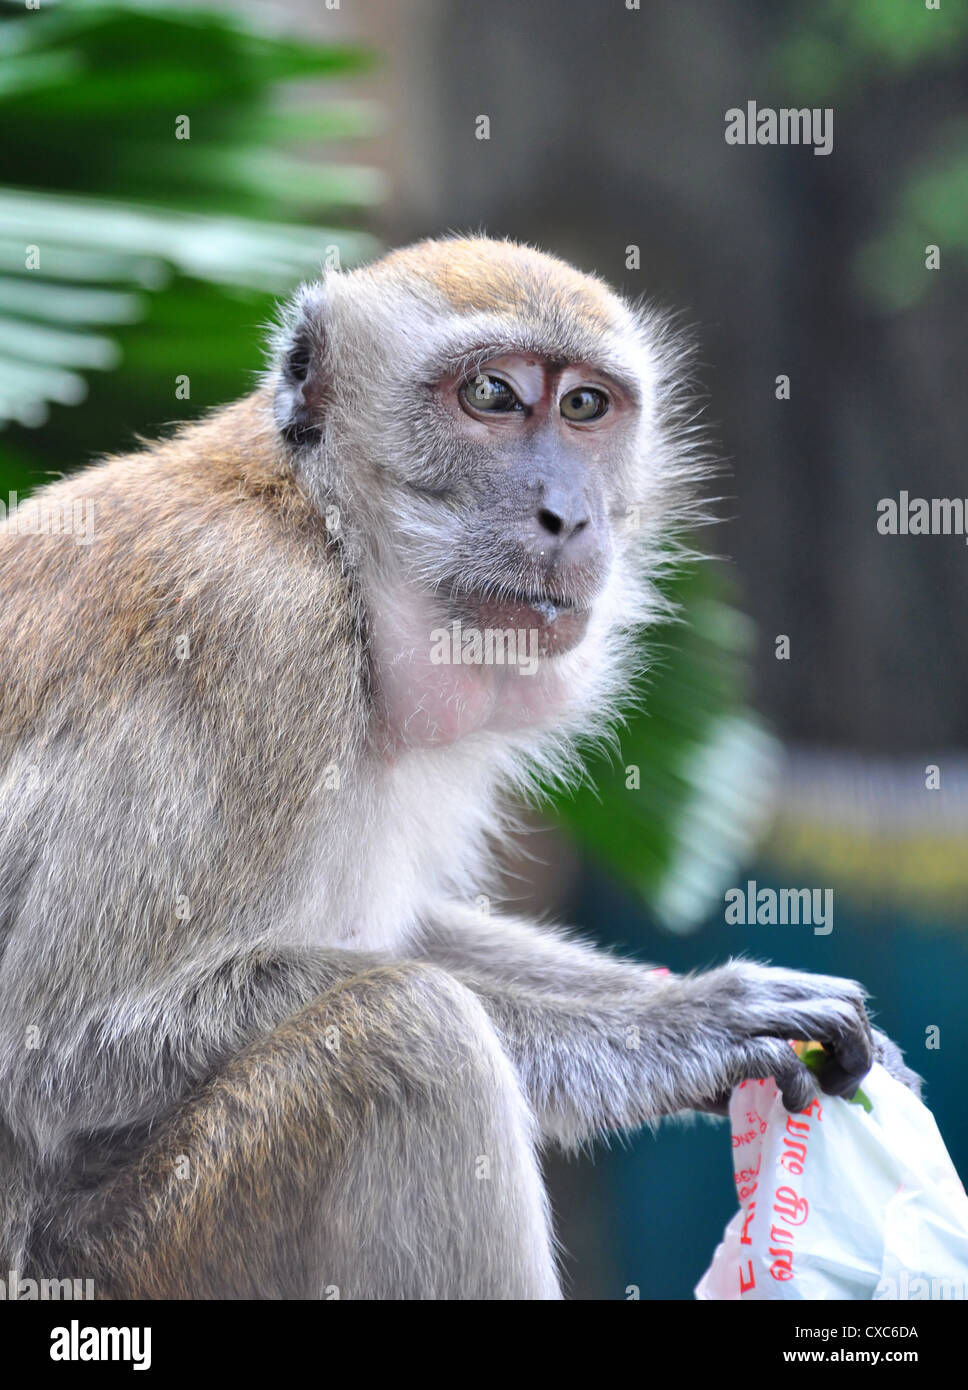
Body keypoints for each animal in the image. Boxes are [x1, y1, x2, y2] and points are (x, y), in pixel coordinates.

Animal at [0, 235, 919, 1300]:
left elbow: (407, 929)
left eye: (584, 406)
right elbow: (70, 1044)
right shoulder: (251, 630)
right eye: (491, 394)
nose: (567, 515)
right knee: (415, 1036)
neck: (323, 532)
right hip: (130, 1258)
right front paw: (681, 1034)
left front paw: (695, 1000)